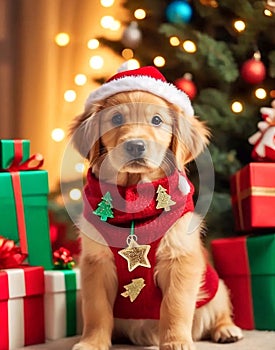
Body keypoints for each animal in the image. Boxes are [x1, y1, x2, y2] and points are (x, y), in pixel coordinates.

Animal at [70, 66, 244, 350]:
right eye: (116, 118)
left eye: (156, 120)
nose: (135, 145)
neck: (133, 198)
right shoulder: (95, 263)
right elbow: (96, 310)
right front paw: (92, 343)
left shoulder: (180, 260)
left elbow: (175, 307)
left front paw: (176, 342)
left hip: (215, 287)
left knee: (220, 310)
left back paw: (227, 329)